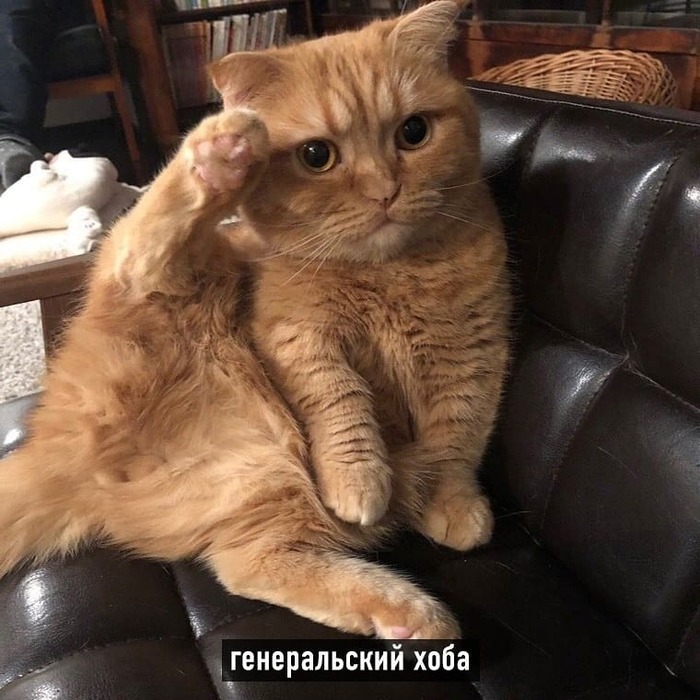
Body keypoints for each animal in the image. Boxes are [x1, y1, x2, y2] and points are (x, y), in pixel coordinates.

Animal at [0, 0, 510, 639]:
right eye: (318, 156)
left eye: (413, 132)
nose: (385, 192)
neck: (388, 273)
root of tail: (55, 434)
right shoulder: (297, 337)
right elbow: (340, 405)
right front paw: (359, 481)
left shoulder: (474, 353)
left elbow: (457, 438)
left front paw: (453, 504)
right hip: (166, 303)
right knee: (138, 253)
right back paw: (223, 151)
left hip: (262, 489)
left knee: (251, 563)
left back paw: (410, 616)